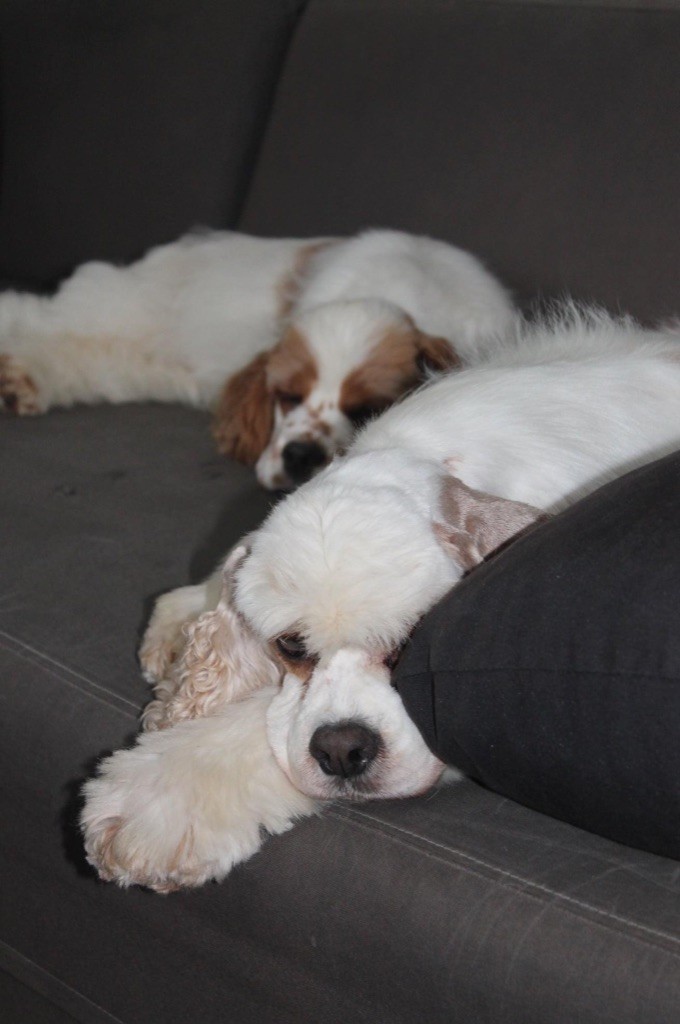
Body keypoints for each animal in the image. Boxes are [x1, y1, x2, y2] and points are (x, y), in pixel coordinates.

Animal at [0, 229, 510, 491]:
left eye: (366, 409)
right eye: (287, 396)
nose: (300, 456)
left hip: (137, 360)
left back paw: (20, 383)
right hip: (115, 308)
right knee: (30, 313)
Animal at [80, 303, 680, 888]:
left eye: (413, 639)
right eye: (291, 645)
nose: (342, 751)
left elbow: (250, 726)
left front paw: (148, 809)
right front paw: (180, 633)